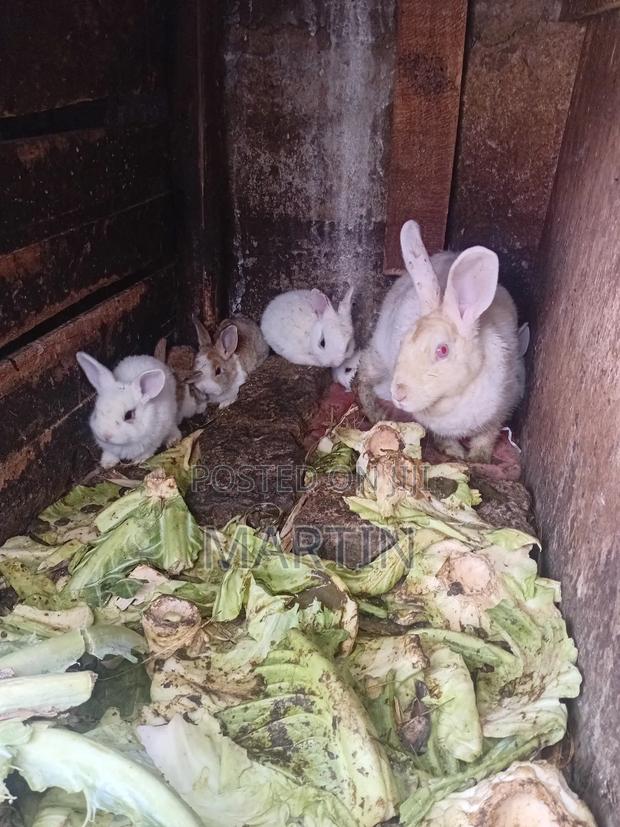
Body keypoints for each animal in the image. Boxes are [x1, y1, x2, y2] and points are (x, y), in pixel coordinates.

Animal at [387, 220, 524, 462]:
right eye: (404, 341)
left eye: (442, 350)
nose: (399, 393)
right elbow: (445, 438)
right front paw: (454, 452)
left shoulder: (500, 411)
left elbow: (487, 436)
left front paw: (478, 457)